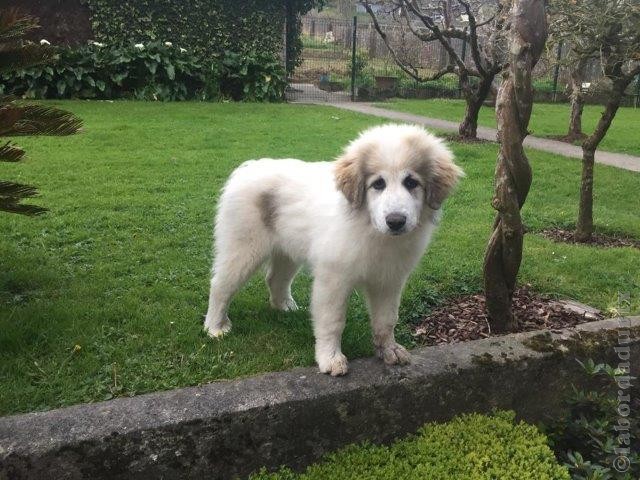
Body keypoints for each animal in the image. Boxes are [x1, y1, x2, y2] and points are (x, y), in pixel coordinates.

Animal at [208, 123, 462, 376]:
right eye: (378, 184)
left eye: (411, 183)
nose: (396, 221)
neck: (371, 229)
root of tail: (246, 169)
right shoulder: (333, 279)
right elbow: (333, 322)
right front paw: (330, 358)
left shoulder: (389, 280)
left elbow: (387, 319)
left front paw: (389, 349)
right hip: (243, 248)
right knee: (220, 285)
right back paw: (215, 327)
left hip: (287, 250)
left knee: (274, 279)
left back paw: (285, 307)